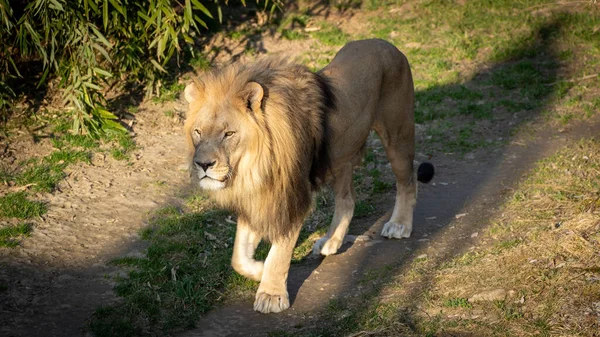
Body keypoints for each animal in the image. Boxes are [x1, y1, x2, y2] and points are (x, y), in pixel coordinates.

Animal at [183, 38, 432, 312]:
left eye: (228, 134)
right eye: (198, 131)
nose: (203, 164)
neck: (252, 167)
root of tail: (387, 44)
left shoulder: (293, 197)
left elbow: (279, 252)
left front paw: (271, 294)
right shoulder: (258, 197)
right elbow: (238, 256)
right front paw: (259, 270)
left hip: (397, 134)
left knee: (407, 180)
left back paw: (400, 224)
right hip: (340, 155)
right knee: (347, 200)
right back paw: (331, 241)